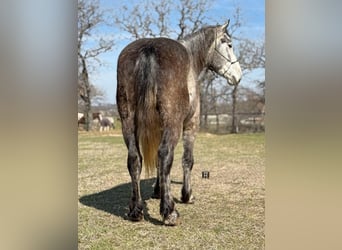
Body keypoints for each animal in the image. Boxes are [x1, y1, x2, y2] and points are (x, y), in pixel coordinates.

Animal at [116, 20, 242, 226]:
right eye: (229, 44)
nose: (238, 76)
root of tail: (149, 48)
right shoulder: (191, 125)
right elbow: (187, 160)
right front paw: (186, 195)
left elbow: (158, 165)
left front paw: (158, 190)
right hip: (173, 124)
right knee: (165, 155)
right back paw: (169, 212)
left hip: (127, 123)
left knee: (135, 159)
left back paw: (136, 210)